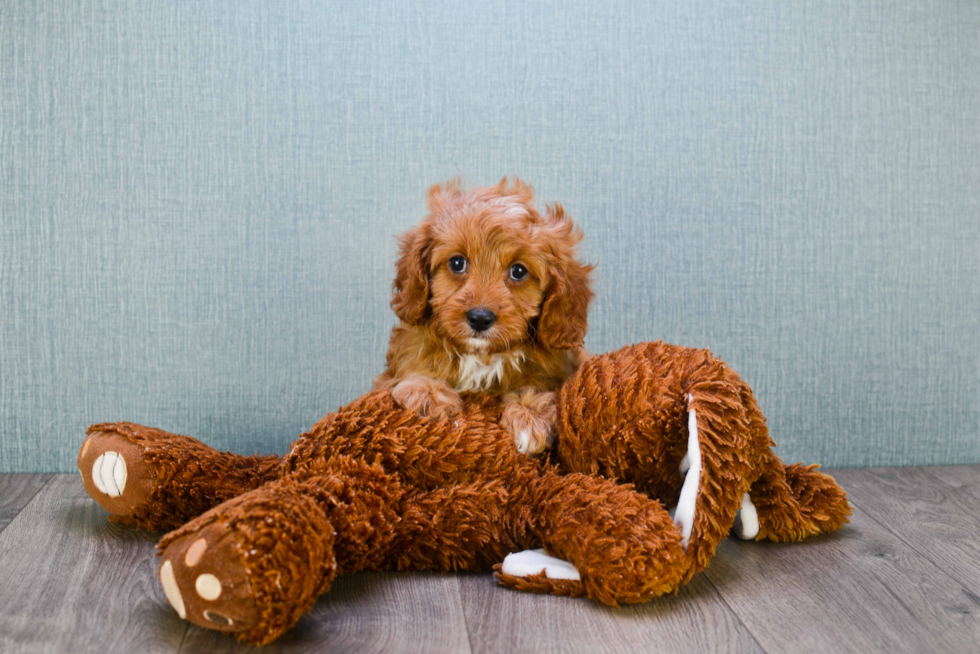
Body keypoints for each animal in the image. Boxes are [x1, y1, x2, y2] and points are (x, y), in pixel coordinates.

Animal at [374, 179, 588, 456]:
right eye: (457, 263)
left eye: (518, 271)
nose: (479, 318)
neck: (481, 356)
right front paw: (428, 392)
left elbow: (533, 385)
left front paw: (529, 415)